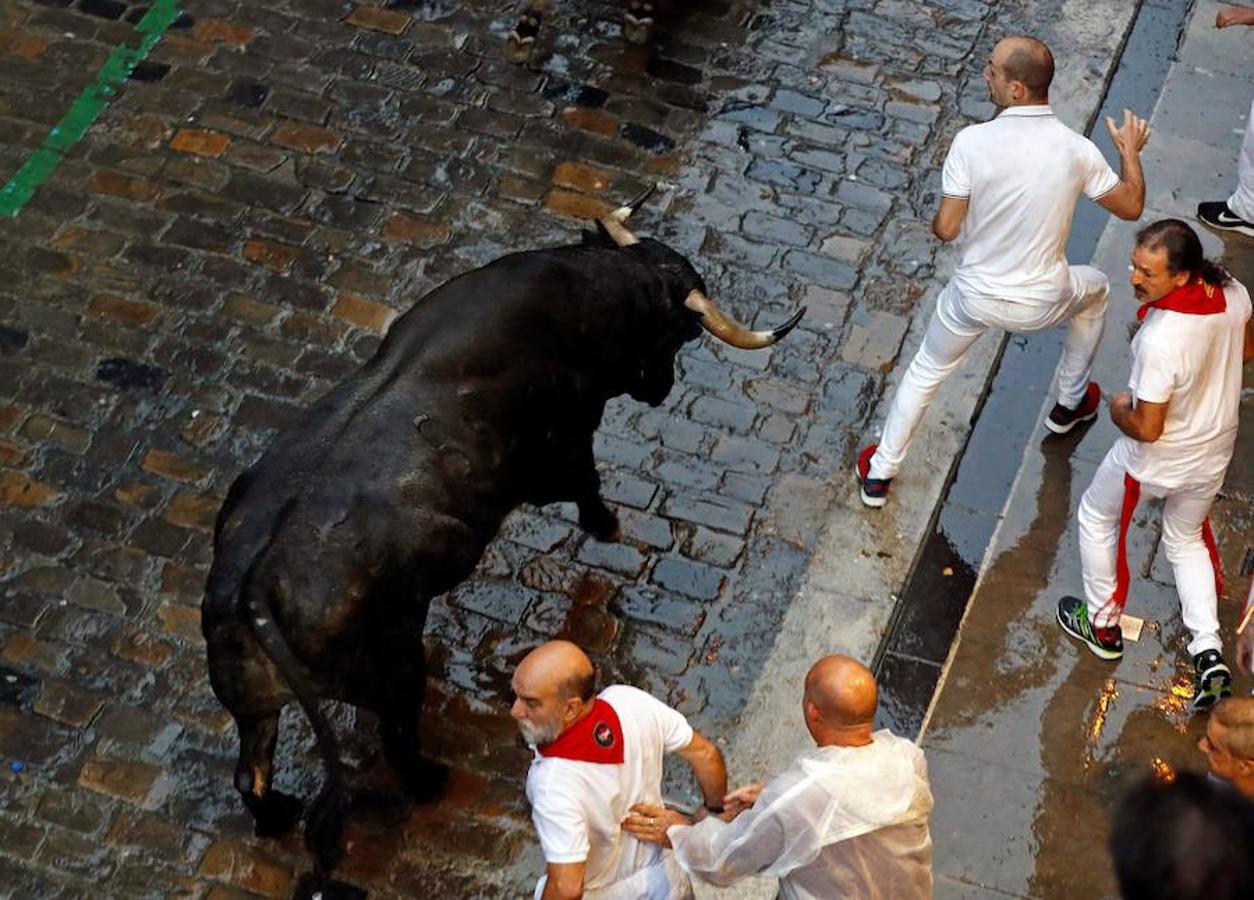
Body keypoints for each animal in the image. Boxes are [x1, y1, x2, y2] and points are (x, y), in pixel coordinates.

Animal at [199, 209, 797, 887]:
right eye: (674, 335)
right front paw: (606, 525)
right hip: (394, 668)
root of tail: (256, 586)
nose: (662, 390)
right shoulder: (564, 445)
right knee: (396, 741)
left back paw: (278, 813)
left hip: (254, 704)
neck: (592, 289)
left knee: (251, 774)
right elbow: (586, 483)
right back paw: (431, 782)